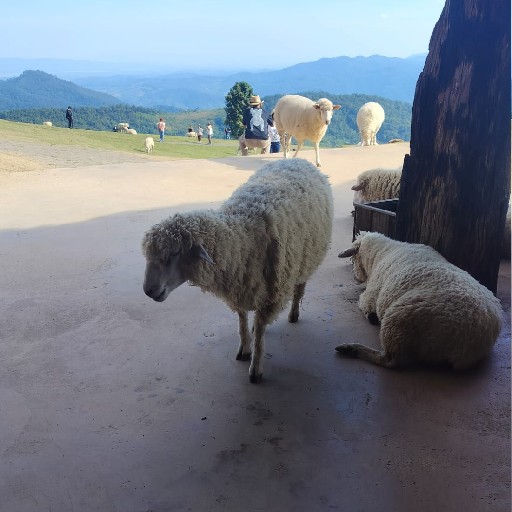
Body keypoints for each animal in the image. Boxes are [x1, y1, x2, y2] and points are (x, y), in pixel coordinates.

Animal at [142, 158, 334, 383]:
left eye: (173, 253)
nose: (148, 291)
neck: (242, 236)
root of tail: (298, 160)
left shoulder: (271, 293)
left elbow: (260, 332)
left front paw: (256, 368)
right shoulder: (240, 283)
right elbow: (242, 321)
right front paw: (244, 349)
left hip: (307, 258)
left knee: (300, 288)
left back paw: (294, 313)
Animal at [337, 232, 502, 370]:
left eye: (353, 258)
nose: (355, 278)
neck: (381, 253)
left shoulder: (371, 294)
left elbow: (363, 302)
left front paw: (370, 316)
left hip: (398, 321)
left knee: (389, 361)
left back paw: (352, 349)